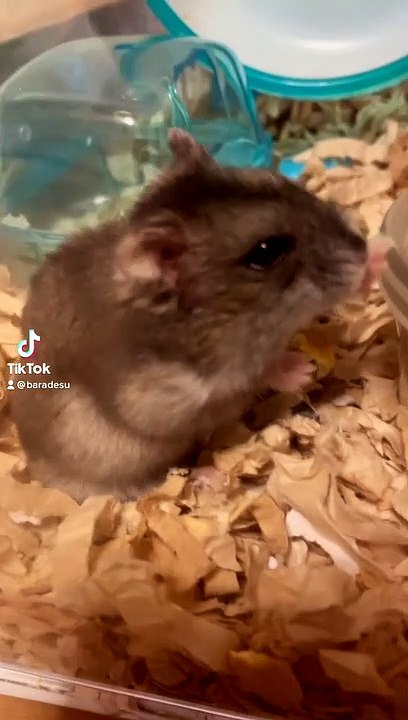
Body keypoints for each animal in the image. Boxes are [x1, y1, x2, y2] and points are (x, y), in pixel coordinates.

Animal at [11, 129, 368, 502]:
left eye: (280, 180)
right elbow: (249, 380)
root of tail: (34, 469)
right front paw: (301, 368)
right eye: (266, 251)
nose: (365, 253)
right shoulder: (168, 399)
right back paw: (207, 475)